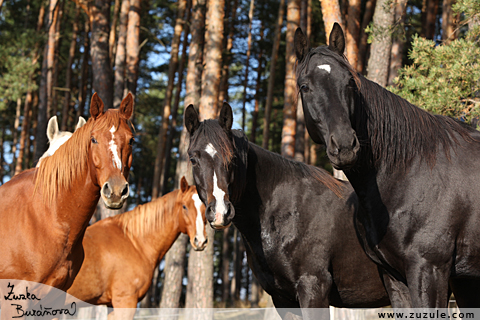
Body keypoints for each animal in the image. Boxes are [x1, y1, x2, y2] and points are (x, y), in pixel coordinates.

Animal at [65, 176, 206, 318]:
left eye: (206, 208)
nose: (200, 240)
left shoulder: (111, 305)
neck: (134, 242)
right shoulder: (125, 301)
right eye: (184, 206)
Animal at [184, 103, 390, 320]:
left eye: (231, 158)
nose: (220, 212)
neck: (286, 212)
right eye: (193, 159)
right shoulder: (283, 298)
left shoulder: (314, 288)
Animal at [294, 23, 480, 308]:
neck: (410, 171)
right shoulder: (394, 276)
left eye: (350, 82)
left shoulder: (429, 270)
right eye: (304, 86)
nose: (346, 145)